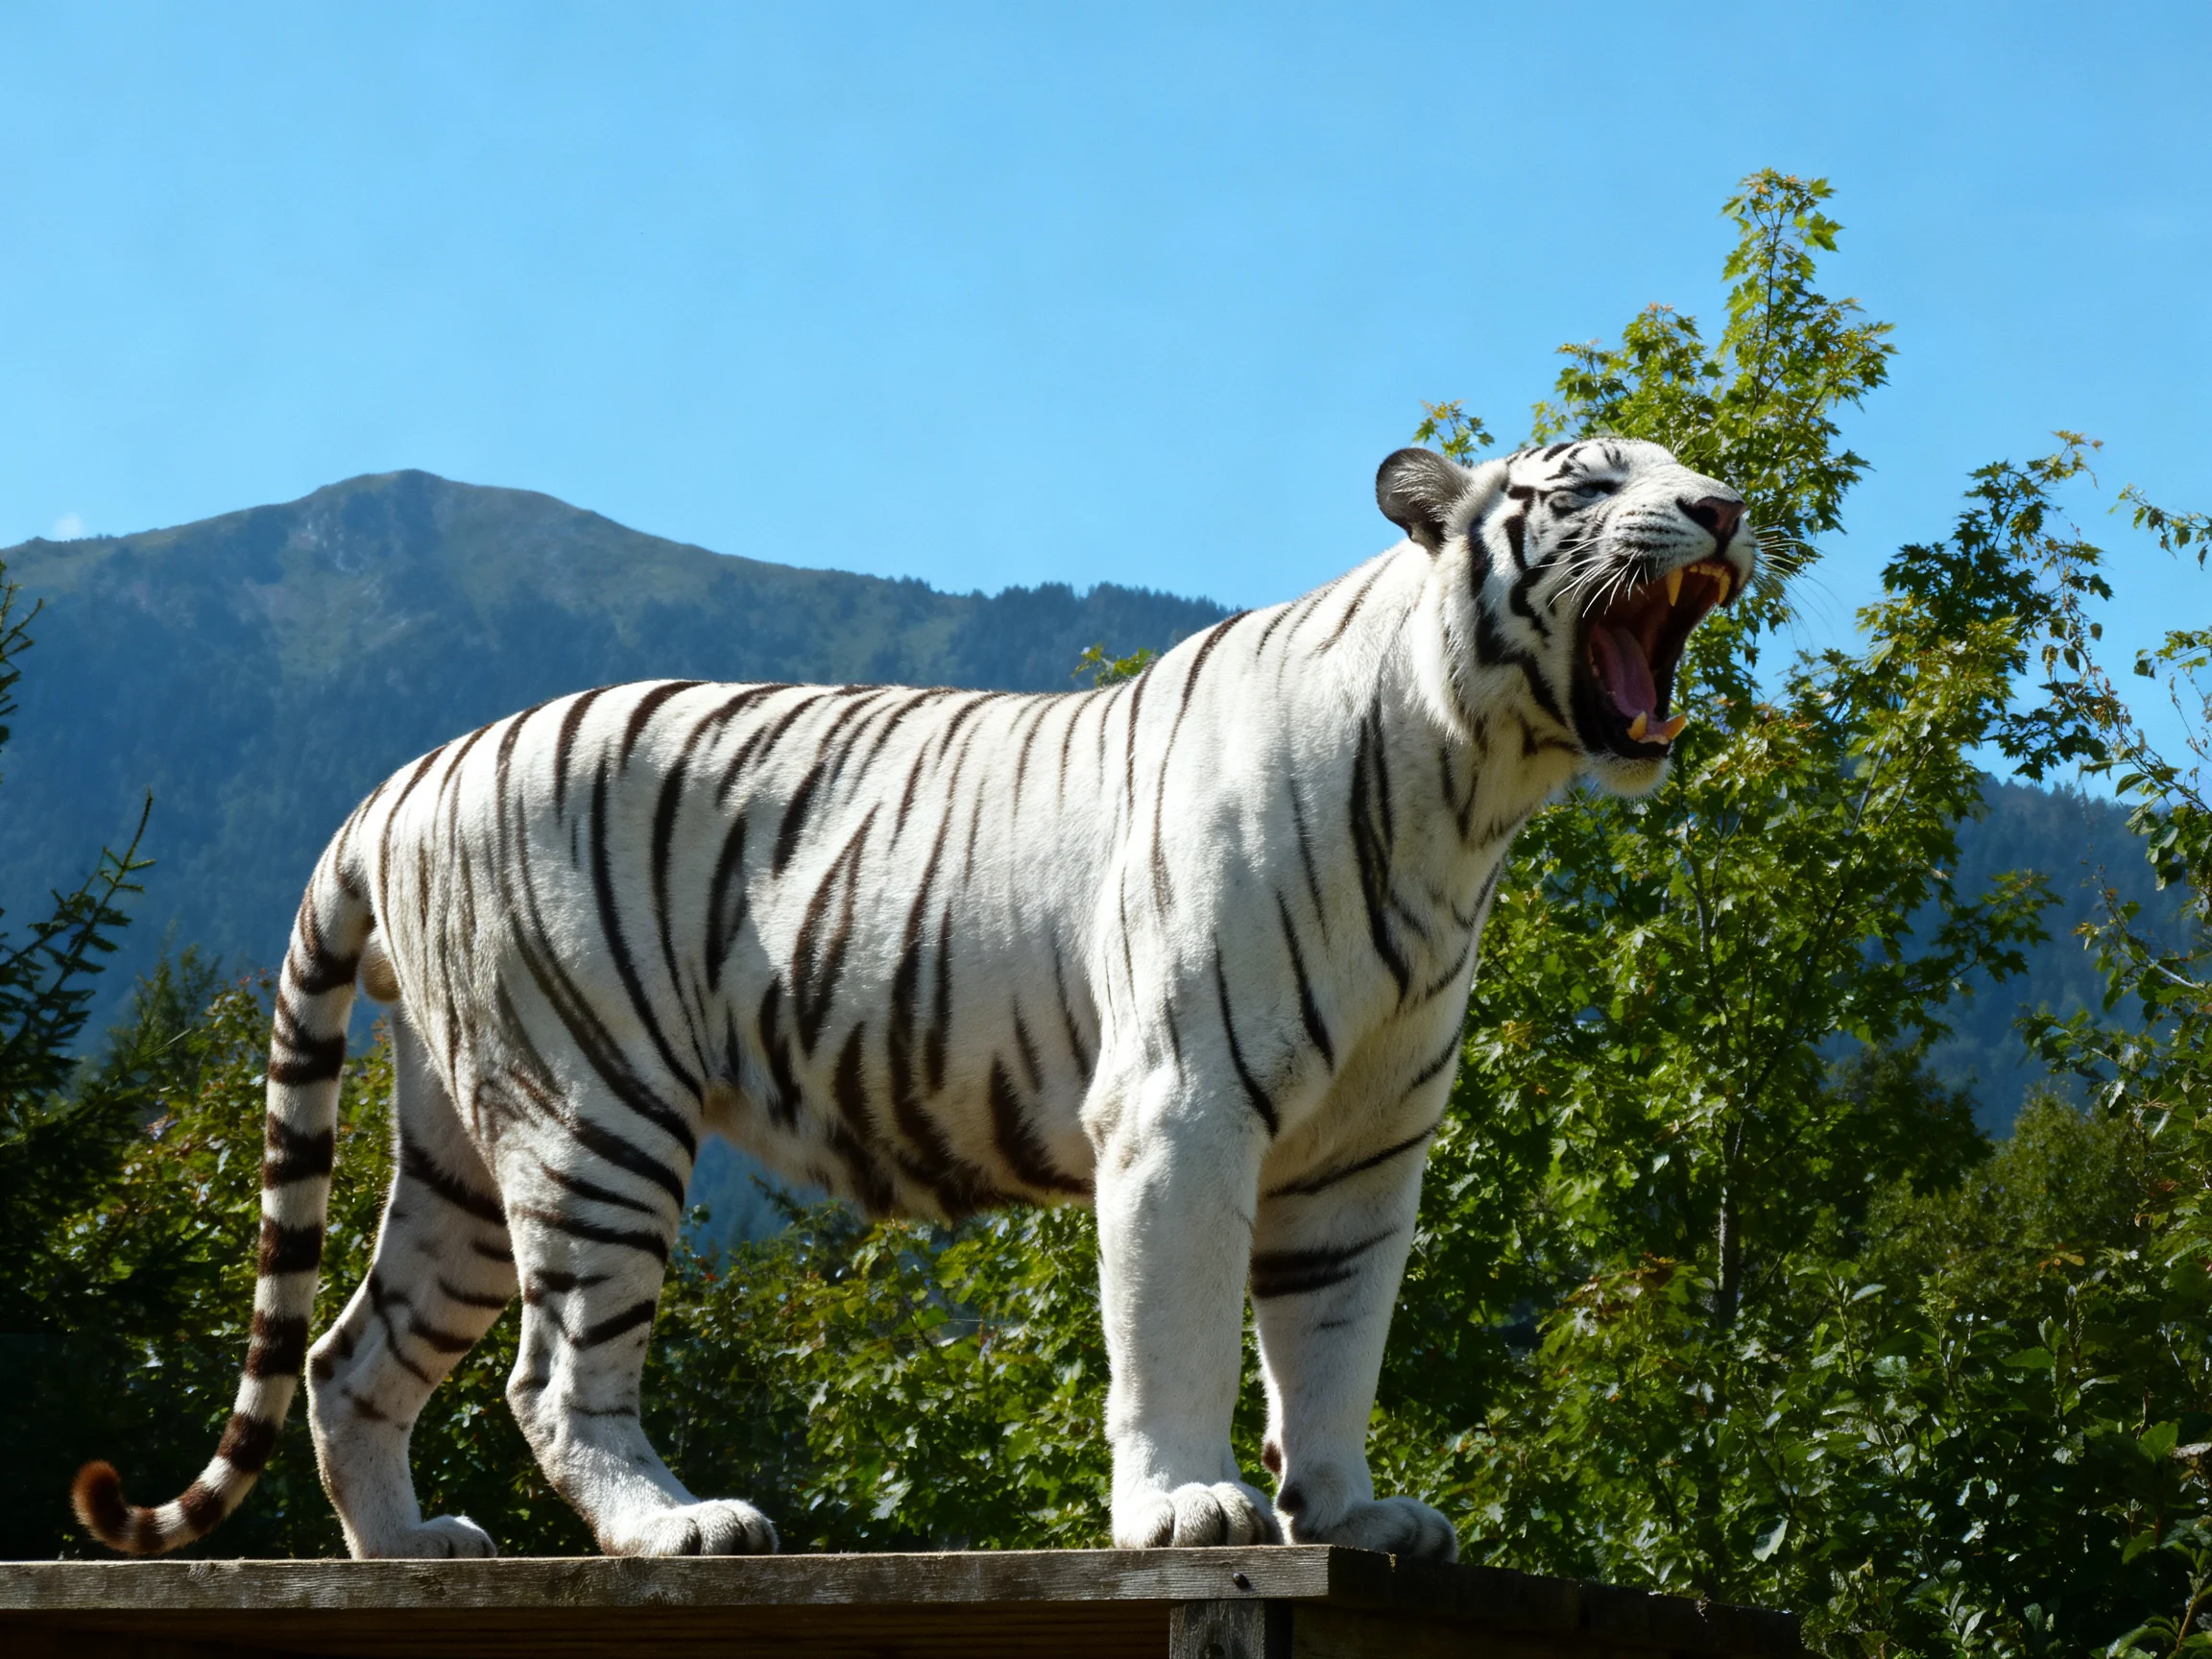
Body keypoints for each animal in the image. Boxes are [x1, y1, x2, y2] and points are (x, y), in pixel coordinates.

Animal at [73, 437, 1752, 1562]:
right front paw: (1184, 1507)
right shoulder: (1184, 1113)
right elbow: (1180, 1332)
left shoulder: (1361, 1154)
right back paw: (677, 1528)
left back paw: (411, 1554)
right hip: (590, 1112)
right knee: (554, 1378)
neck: (1468, 796)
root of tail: (401, 781)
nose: (1729, 509)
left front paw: (1345, 1512)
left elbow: (1333, 1343)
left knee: (354, 1355)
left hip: (468, 1150)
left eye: (1687, 470)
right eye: (1590, 484)